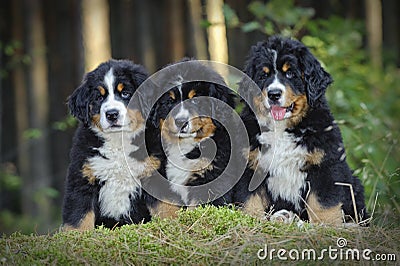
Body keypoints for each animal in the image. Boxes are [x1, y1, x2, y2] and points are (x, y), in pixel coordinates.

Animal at [62, 59, 159, 230]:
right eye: (99, 97)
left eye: (125, 93)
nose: (112, 114)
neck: (118, 141)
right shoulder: (82, 178)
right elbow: (78, 218)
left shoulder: (153, 171)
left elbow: (167, 208)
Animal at [234, 35, 368, 224]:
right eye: (263, 75)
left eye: (290, 73)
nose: (273, 94)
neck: (282, 129)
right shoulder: (250, 165)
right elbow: (249, 201)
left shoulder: (325, 165)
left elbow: (323, 204)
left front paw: (326, 225)